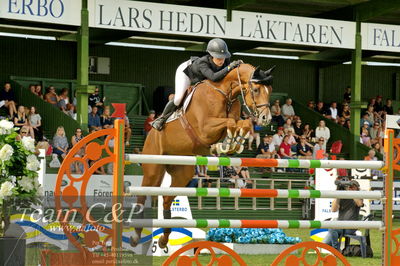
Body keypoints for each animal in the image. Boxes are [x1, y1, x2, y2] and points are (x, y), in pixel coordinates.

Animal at [130, 63, 274, 248]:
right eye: (256, 89)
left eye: (270, 90)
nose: (266, 118)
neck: (225, 93)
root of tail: (151, 135)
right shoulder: (206, 129)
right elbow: (230, 122)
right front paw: (228, 143)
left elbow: (243, 123)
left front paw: (233, 144)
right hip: (154, 169)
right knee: (142, 195)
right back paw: (135, 236)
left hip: (182, 174)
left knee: (167, 199)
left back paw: (164, 239)